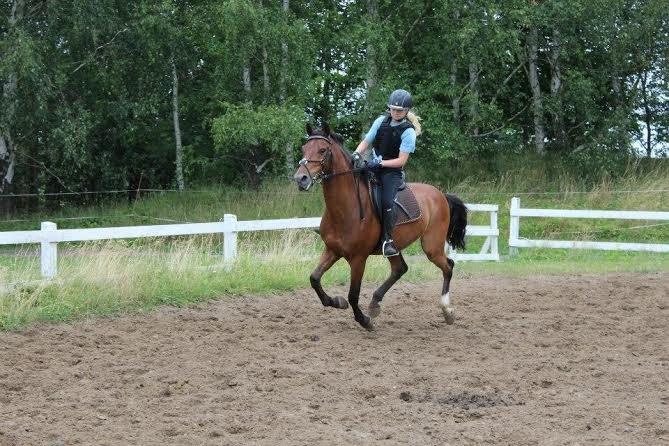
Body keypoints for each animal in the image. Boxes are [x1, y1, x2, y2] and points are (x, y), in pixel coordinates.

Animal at [292, 123, 464, 330]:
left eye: (323, 150)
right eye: (303, 148)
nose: (301, 179)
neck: (344, 209)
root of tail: (440, 194)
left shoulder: (358, 258)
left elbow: (353, 294)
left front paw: (365, 321)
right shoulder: (332, 250)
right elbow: (314, 279)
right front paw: (337, 302)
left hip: (432, 246)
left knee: (448, 266)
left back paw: (447, 310)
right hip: (395, 247)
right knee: (400, 269)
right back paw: (375, 302)